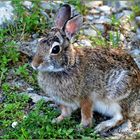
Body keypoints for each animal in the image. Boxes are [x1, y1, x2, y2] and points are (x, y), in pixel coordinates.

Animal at [31, 4, 140, 133]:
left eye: (55, 49)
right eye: (39, 42)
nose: (34, 64)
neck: (68, 66)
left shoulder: (87, 98)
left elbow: (86, 113)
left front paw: (81, 127)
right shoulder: (64, 102)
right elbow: (65, 112)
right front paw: (57, 120)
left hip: (118, 98)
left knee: (122, 117)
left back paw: (102, 126)